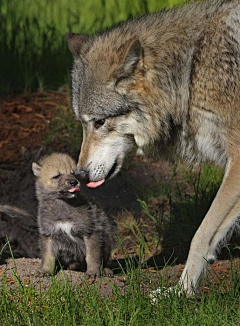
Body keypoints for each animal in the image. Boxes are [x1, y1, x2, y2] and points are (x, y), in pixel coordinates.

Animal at [66, 0, 240, 296]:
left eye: (99, 122)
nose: (80, 175)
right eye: (82, 123)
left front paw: (181, 293)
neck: (191, 70)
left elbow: (200, 235)